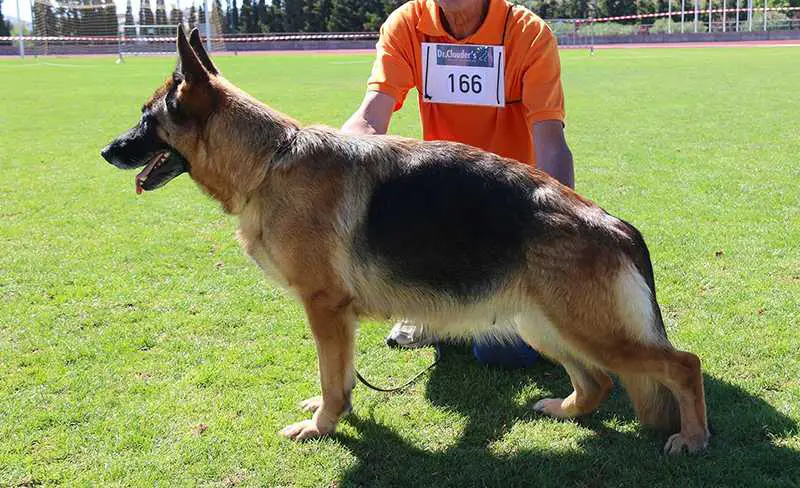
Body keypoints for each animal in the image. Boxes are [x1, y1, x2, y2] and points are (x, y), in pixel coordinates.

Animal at [103, 26, 708, 454]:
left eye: (146, 119)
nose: (106, 151)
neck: (269, 161)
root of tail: (615, 224)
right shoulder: (335, 316)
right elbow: (338, 375)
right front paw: (334, 413)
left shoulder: (324, 308)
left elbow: (332, 377)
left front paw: (322, 424)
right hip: (544, 325)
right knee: (600, 382)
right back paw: (564, 410)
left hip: (585, 329)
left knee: (683, 363)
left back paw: (693, 437)